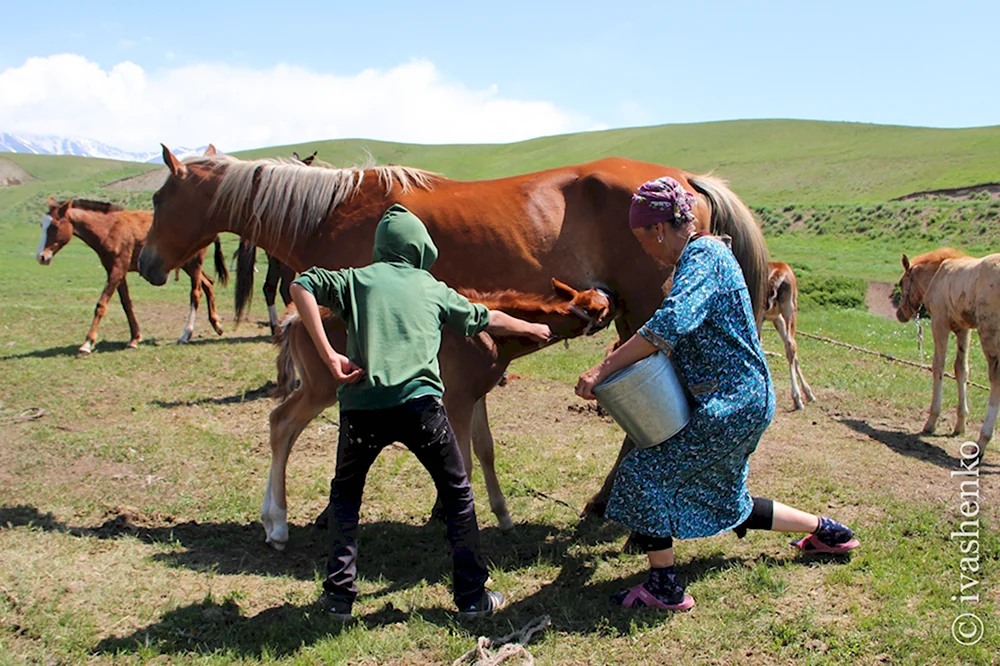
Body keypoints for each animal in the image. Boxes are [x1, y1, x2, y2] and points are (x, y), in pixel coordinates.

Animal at [35, 196, 229, 352]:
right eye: (41, 225)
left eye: (54, 225)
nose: (41, 257)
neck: (110, 229)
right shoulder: (116, 270)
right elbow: (126, 304)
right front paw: (134, 338)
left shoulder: (117, 269)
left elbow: (101, 304)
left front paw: (87, 343)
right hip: (187, 265)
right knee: (208, 283)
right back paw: (216, 325)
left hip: (195, 264)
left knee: (195, 294)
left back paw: (186, 334)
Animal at [760, 260, 816, 408]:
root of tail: (779, 272)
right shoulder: (776, 317)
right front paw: (807, 393)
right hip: (790, 308)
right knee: (791, 345)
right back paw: (800, 396)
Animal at [896, 249, 1000, 456]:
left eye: (902, 283)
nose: (900, 314)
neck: (937, 274)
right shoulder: (963, 328)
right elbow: (961, 369)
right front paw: (960, 424)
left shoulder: (939, 323)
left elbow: (938, 366)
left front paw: (931, 421)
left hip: (989, 333)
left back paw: (982, 440)